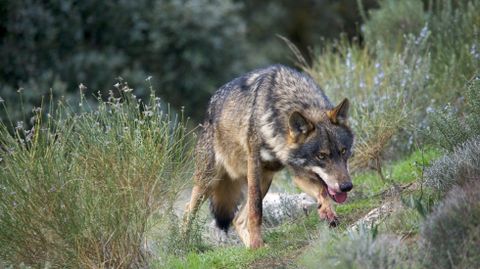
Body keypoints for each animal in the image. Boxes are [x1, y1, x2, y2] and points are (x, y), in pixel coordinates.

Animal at [186, 64, 354, 247]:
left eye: (343, 151)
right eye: (321, 156)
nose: (347, 186)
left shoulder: (298, 172)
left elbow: (322, 191)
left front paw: (327, 212)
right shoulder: (254, 164)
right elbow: (256, 210)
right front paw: (257, 242)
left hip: (265, 180)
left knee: (237, 220)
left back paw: (252, 248)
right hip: (209, 181)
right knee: (188, 210)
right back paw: (183, 244)